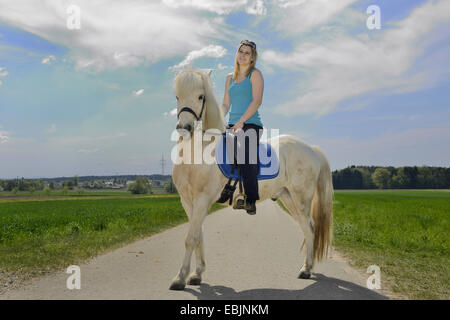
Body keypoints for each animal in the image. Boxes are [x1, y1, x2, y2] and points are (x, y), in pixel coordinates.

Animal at [171, 68, 332, 290]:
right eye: (177, 96)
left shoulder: (202, 200)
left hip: (301, 199)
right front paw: (197, 274)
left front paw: (180, 278)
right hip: (288, 198)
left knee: (309, 227)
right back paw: (306, 268)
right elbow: (199, 237)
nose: (184, 127)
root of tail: (311, 149)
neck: (198, 152)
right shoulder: (188, 202)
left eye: (201, 96)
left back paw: (306, 270)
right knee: (307, 229)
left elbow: (191, 238)